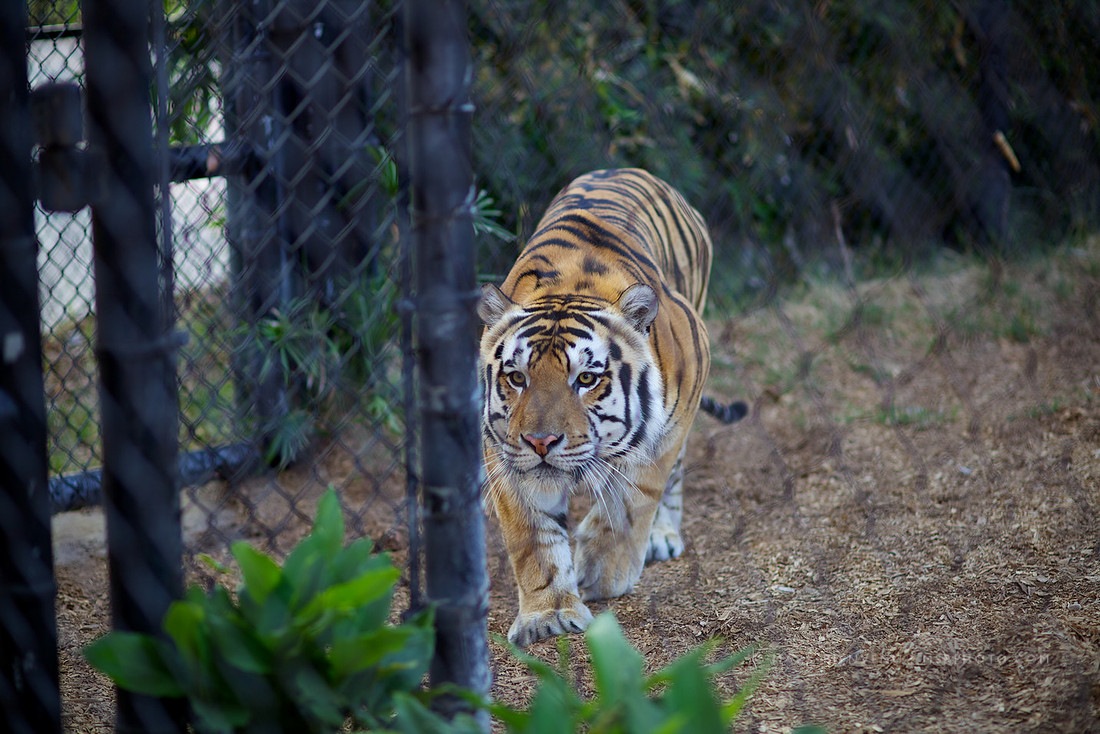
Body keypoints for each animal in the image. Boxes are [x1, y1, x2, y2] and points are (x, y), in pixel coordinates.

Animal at [478, 168, 746, 647]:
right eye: (517, 377)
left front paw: (602, 572)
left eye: (586, 379)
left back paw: (662, 535)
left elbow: (634, 497)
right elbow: (533, 538)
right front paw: (549, 616)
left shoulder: (673, 419)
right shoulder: (505, 450)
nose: (541, 442)